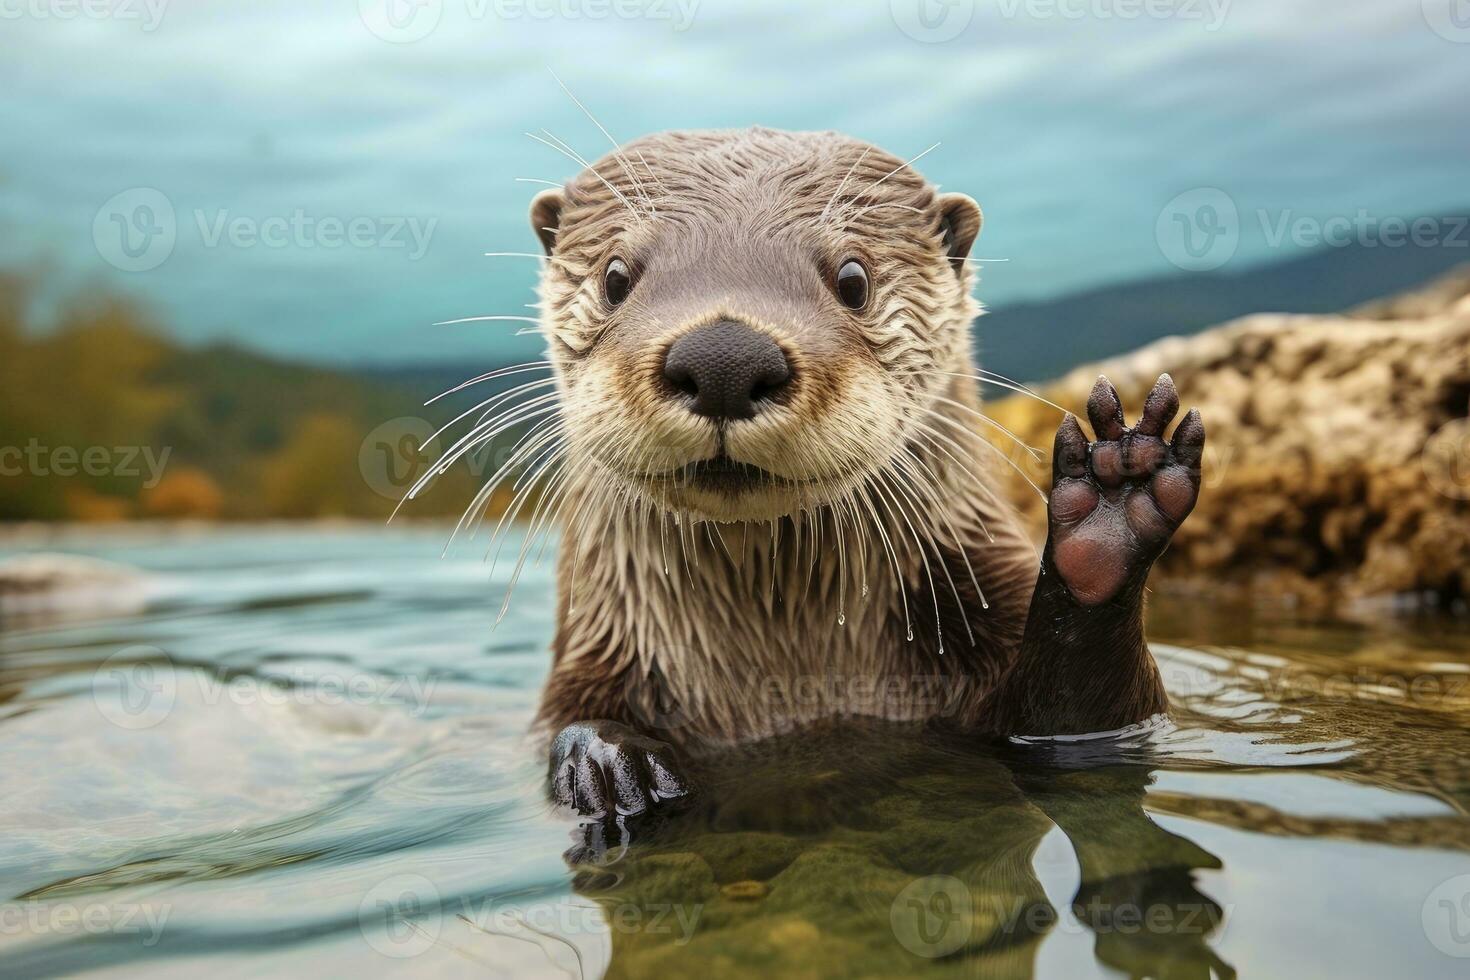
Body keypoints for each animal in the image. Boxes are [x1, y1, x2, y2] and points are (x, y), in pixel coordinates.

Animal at [520, 130, 1205, 822]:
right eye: (615, 276)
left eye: (853, 279)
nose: (723, 359)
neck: (786, 676)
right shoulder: (597, 647)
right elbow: (573, 722)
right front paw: (606, 759)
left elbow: (1086, 720)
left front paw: (1112, 515)